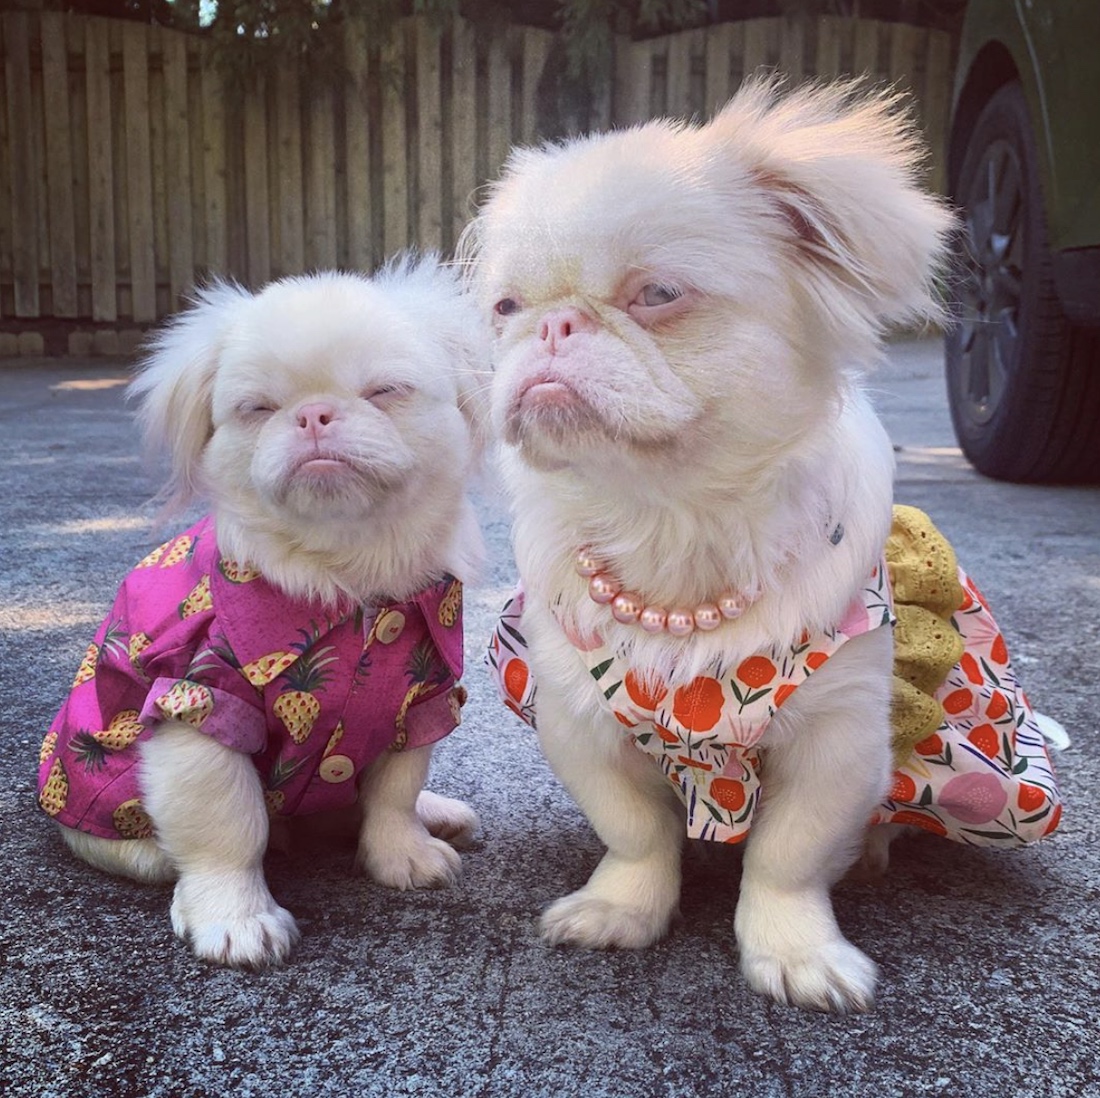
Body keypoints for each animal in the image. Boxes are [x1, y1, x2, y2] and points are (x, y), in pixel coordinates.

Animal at [39, 259, 486, 972]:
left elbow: (394, 790)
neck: (343, 576)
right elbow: (228, 825)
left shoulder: (424, 697)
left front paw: (404, 853)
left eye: (385, 391)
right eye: (259, 410)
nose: (313, 415)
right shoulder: (198, 704)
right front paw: (236, 918)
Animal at [468, 83, 959, 1012]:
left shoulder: (839, 741)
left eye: (657, 293)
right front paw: (621, 910)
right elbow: (634, 834)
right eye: (506, 310)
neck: (675, 521)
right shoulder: (581, 725)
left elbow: (787, 857)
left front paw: (796, 952)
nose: (550, 327)